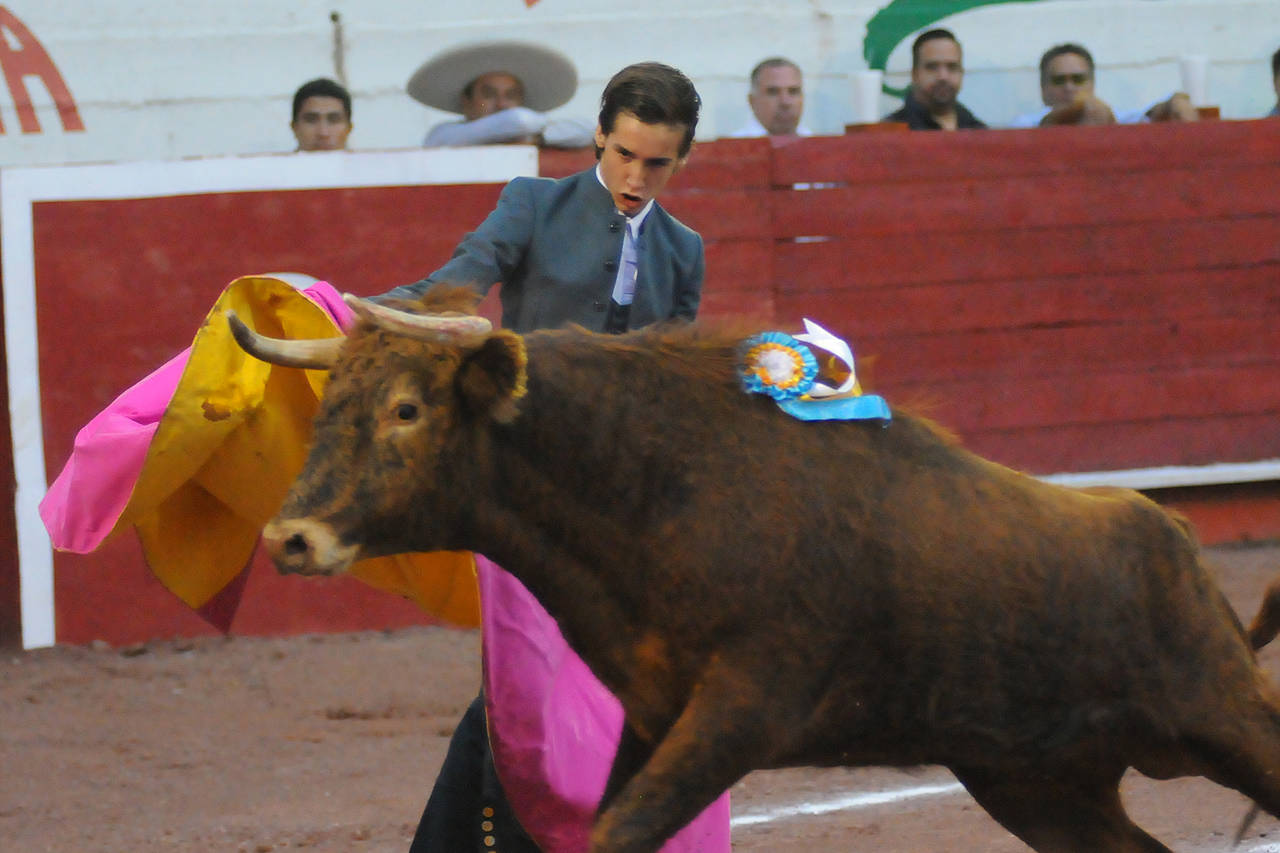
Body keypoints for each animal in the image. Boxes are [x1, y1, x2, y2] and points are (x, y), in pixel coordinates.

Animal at [227, 286, 1280, 850]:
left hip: (1224, 721)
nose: (290, 538)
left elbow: (619, 830)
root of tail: (1177, 543)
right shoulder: (657, 717)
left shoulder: (745, 707)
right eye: (330, 403)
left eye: (407, 408)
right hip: (1037, 780)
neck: (654, 486)